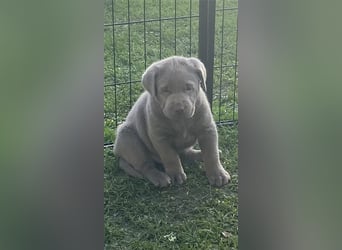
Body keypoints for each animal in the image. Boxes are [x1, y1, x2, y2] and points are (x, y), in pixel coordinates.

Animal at [114, 55, 230, 187]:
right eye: (165, 90)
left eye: (188, 88)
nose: (179, 109)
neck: (181, 121)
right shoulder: (160, 137)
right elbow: (170, 157)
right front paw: (176, 175)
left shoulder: (207, 129)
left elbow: (211, 154)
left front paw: (218, 174)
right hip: (128, 137)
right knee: (145, 166)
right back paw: (159, 177)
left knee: (186, 153)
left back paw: (200, 154)